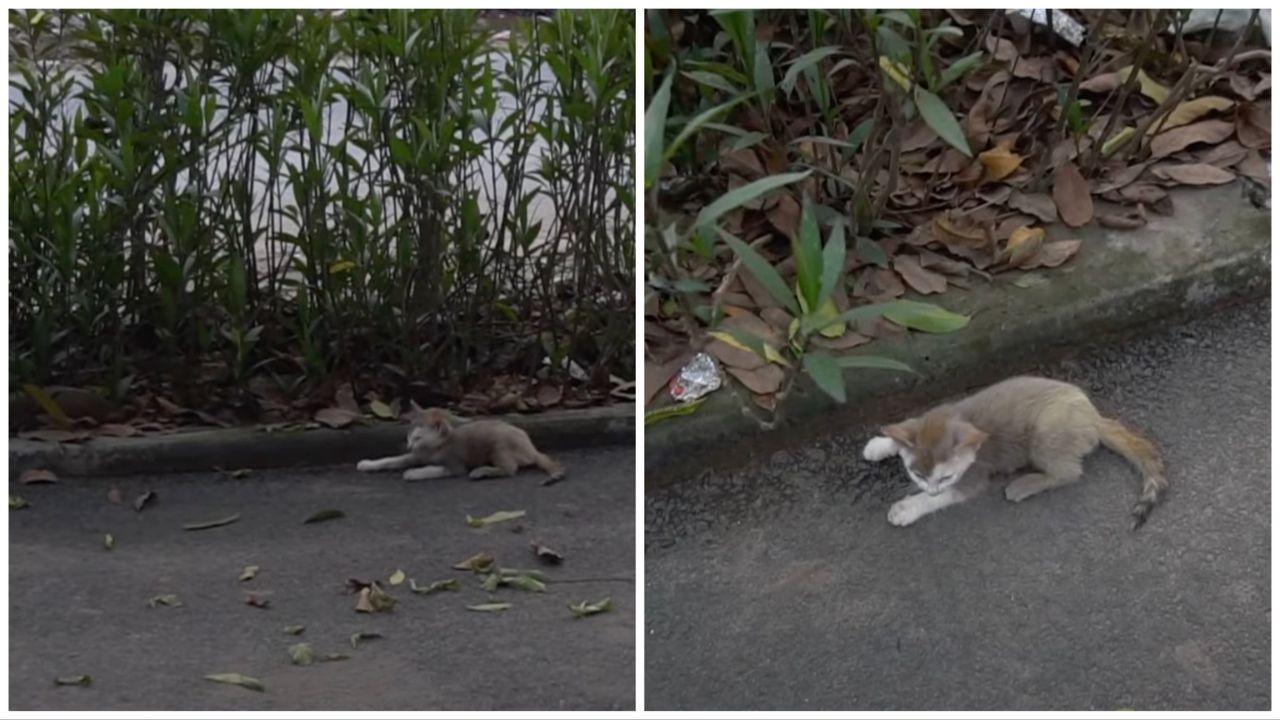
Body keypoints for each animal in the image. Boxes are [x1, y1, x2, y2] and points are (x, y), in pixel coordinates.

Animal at [358, 404, 563, 481]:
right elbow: (392, 459)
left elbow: (436, 469)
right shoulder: (417, 455)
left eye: (418, 437)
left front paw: (414, 473)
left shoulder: (455, 465)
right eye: (409, 436)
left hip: (499, 444)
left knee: (510, 469)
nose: (409, 445)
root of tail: (532, 448)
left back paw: (482, 471)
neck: (435, 448)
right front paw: (368, 464)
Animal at [865, 376, 1167, 527]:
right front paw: (882, 443)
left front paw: (910, 507)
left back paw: (1027, 483)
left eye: (946, 477)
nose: (930, 490)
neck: (957, 417)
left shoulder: (975, 474)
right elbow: (906, 428)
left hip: (1047, 431)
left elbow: (949, 496)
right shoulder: (932, 414)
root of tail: (1094, 417)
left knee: (1070, 472)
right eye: (916, 474)